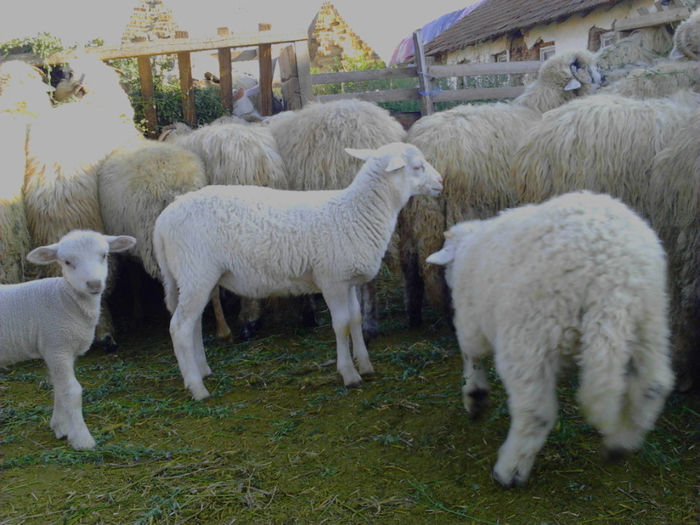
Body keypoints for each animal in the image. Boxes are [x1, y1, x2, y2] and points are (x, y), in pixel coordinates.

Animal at [0, 230, 135, 450]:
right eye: (67, 262)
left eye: (104, 255)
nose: (94, 284)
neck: (65, 298)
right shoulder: (57, 345)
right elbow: (72, 391)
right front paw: (82, 439)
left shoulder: (61, 350)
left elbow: (58, 388)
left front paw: (60, 426)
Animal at [153, 141, 442, 400]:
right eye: (417, 166)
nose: (441, 181)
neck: (356, 212)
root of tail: (163, 220)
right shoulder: (331, 280)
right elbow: (341, 325)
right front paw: (349, 374)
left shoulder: (347, 280)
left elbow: (356, 319)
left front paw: (366, 365)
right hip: (195, 272)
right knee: (179, 327)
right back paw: (197, 387)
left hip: (195, 277)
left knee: (193, 323)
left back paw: (203, 370)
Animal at [402, 50, 604, 324]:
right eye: (588, 67)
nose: (605, 76)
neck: (542, 107)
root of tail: (429, 148)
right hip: (460, 210)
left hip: (411, 218)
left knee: (411, 266)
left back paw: (414, 316)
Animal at [426, 191, 672, 488]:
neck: (467, 248)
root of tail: (613, 276)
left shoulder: (470, 320)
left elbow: (472, 355)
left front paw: (474, 396)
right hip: (649, 322)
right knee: (653, 384)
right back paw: (621, 444)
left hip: (531, 332)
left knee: (535, 412)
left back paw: (509, 471)